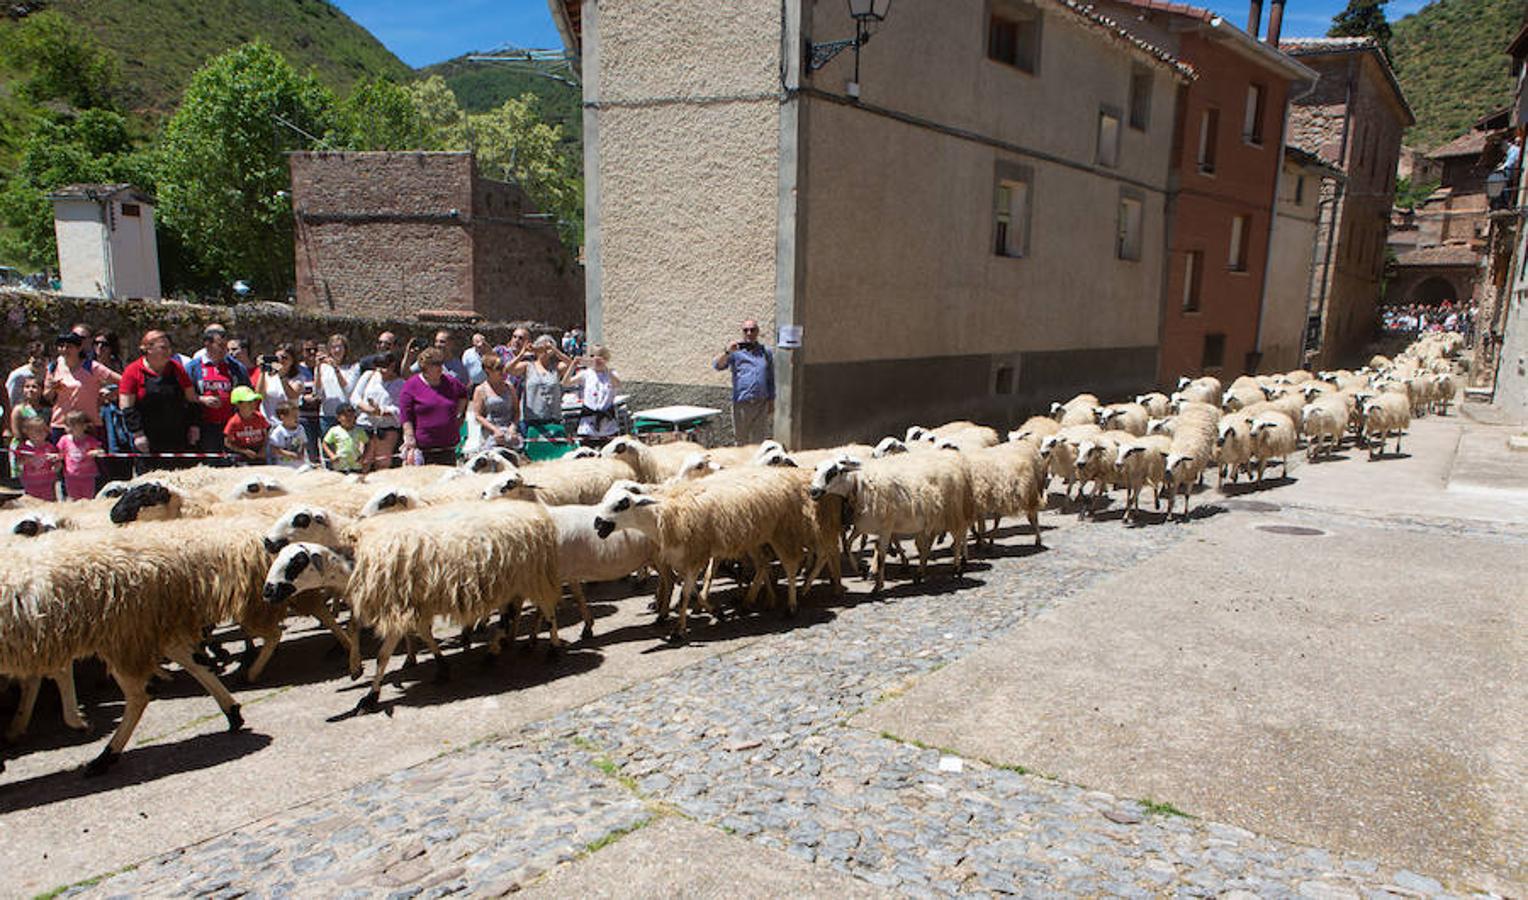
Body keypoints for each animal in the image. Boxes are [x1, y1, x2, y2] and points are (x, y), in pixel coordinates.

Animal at [0, 516, 258, 776]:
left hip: (122, 634)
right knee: (193, 662)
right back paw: (232, 712)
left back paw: (105, 757)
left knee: (139, 695)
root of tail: (161, 561)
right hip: (143, 627)